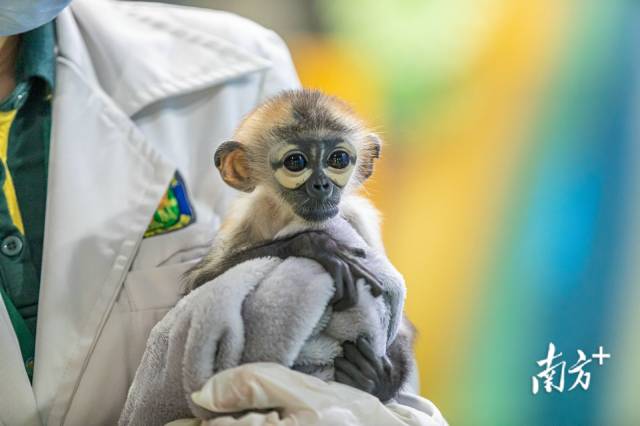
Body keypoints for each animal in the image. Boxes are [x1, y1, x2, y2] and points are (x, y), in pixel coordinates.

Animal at [188, 89, 412, 402]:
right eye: (296, 162)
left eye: (338, 158)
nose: (321, 185)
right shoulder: (251, 215)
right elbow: (198, 285)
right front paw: (317, 245)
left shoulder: (357, 217)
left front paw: (376, 381)